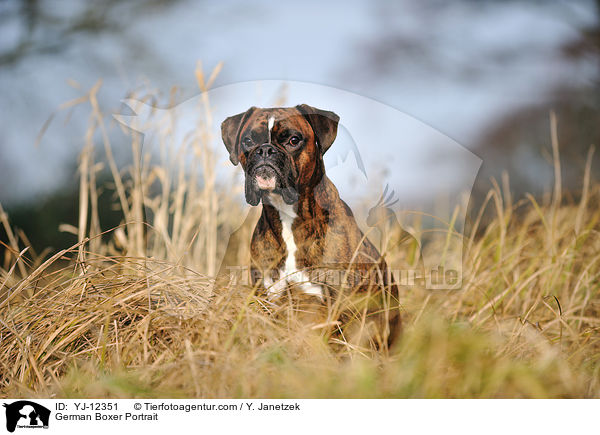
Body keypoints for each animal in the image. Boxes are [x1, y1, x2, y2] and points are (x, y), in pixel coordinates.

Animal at [218, 104, 400, 348]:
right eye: (248, 140)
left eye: (293, 139)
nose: (265, 150)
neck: (288, 216)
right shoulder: (269, 296)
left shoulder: (337, 304)